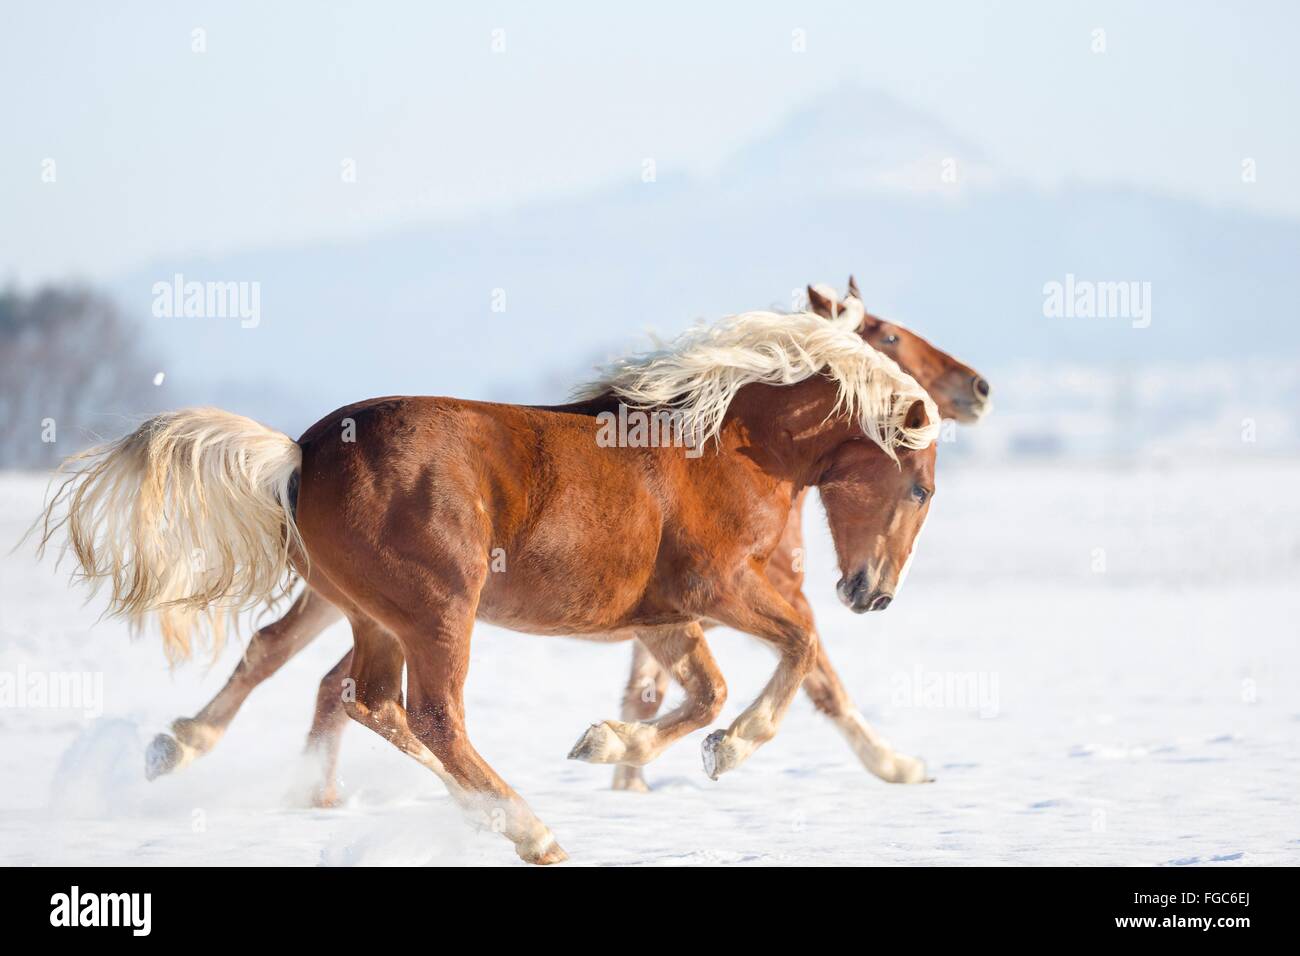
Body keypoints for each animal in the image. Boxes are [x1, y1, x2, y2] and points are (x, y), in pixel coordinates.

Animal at [38, 303, 935, 863]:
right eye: (921, 489)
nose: (876, 594)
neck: (724, 445)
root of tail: (297, 455)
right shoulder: (718, 590)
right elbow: (799, 647)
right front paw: (728, 752)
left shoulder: (663, 615)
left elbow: (708, 693)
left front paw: (607, 742)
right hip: (439, 611)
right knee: (428, 714)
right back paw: (533, 833)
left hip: (374, 615)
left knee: (359, 695)